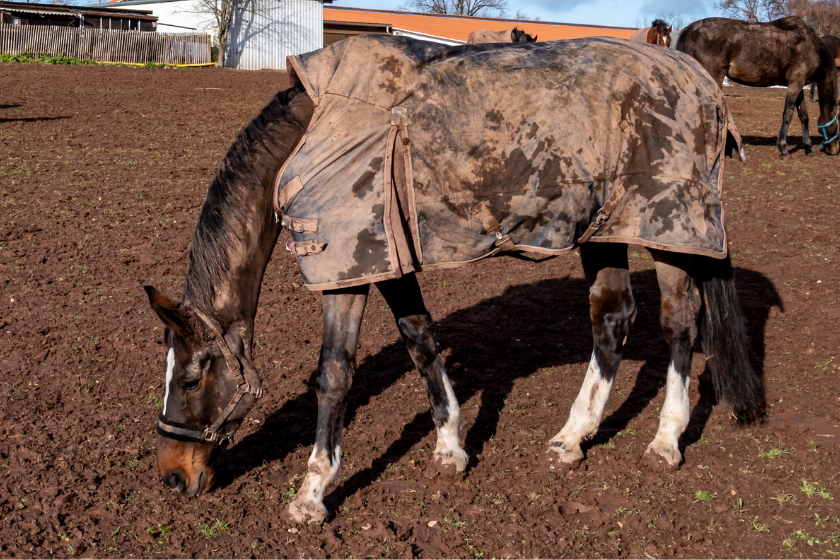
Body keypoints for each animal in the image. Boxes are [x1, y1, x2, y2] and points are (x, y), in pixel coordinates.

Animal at [143, 36, 760, 524]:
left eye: (191, 379)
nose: (172, 476)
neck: (315, 130)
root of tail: (701, 79)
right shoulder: (387, 257)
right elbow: (420, 341)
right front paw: (450, 447)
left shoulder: (345, 267)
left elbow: (334, 375)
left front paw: (312, 492)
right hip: (606, 227)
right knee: (612, 318)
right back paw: (572, 439)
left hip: (670, 228)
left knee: (677, 325)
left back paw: (666, 440)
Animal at [676, 16, 840, 156]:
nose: (835, 150)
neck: (812, 46)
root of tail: (689, 29)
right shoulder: (796, 82)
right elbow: (788, 113)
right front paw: (783, 147)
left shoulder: (798, 84)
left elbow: (803, 115)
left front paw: (808, 147)